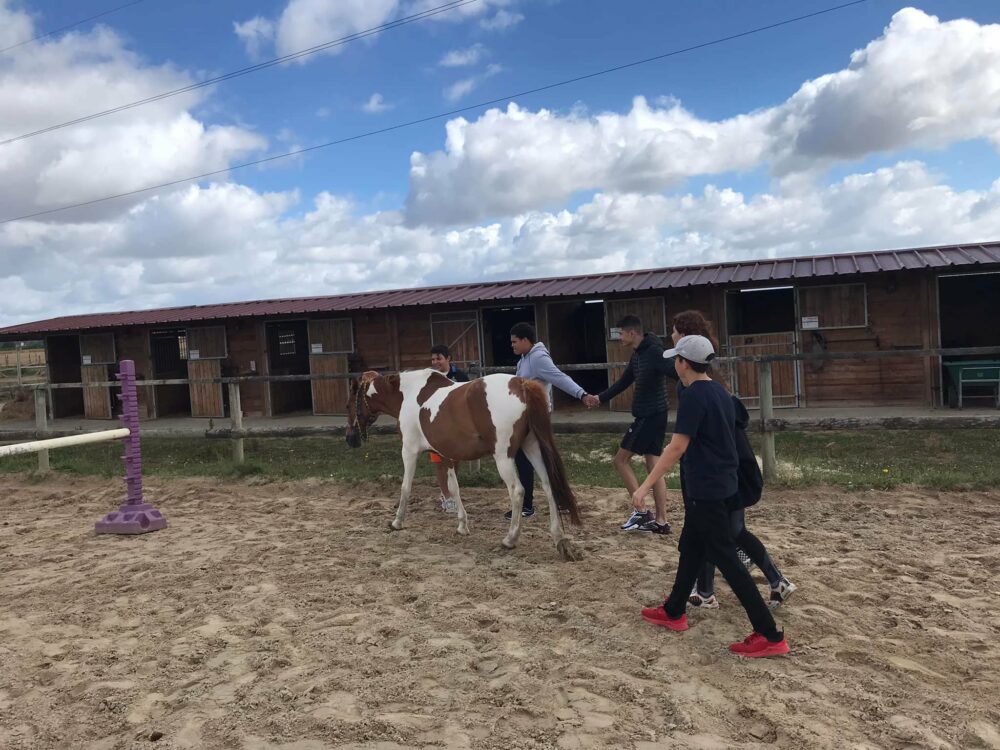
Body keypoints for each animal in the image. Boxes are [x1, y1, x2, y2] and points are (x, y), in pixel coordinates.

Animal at [346, 368, 584, 560]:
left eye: (349, 404)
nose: (351, 439)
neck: (409, 393)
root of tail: (521, 384)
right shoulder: (446, 455)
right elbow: (454, 488)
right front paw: (462, 525)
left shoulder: (409, 451)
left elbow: (406, 487)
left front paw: (397, 522)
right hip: (532, 446)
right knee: (548, 486)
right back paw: (560, 539)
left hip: (503, 455)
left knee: (517, 490)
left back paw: (510, 539)